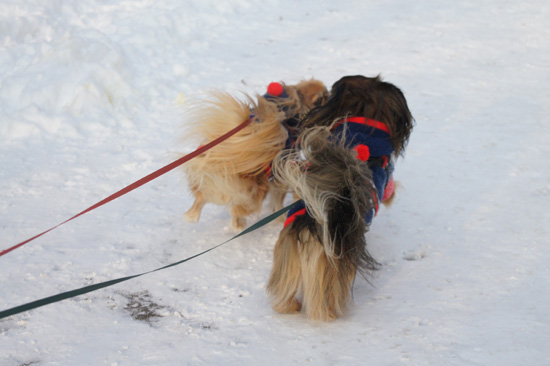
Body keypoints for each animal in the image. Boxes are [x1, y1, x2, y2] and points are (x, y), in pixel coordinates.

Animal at [182, 81, 328, 229]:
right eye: (320, 99)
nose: (329, 96)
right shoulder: (282, 172)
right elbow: (278, 198)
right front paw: (281, 218)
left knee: (201, 200)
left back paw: (193, 216)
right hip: (255, 192)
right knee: (236, 209)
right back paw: (239, 224)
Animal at [268, 75, 414, 320]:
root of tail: (313, 226)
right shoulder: (388, 181)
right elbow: (390, 192)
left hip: (287, 259)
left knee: (285, 293)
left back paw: (290, 306)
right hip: (334, 271)